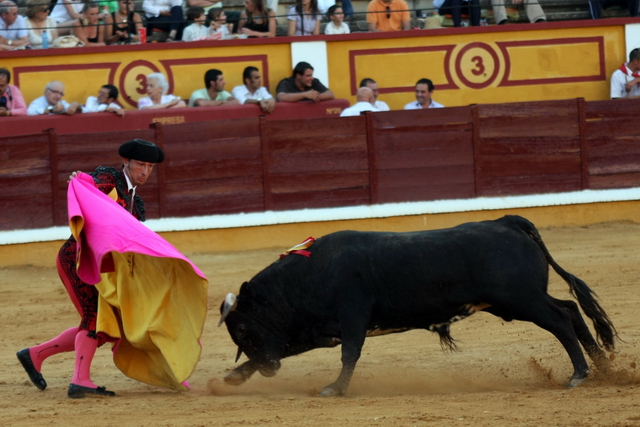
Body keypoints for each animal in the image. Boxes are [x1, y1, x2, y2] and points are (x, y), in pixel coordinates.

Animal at [219, 216, 616, 396]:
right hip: (519, 302)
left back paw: (579, 373)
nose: (269, 370)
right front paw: (233, 376)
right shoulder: (315, 331)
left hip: (523, 300)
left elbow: (350, 353)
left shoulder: (352, 317)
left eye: (243, 329)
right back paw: (604, 366)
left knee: (560, 321)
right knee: (571, 309)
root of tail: (505, 222)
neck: (307, 275)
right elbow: (290, 348)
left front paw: (335, 388)